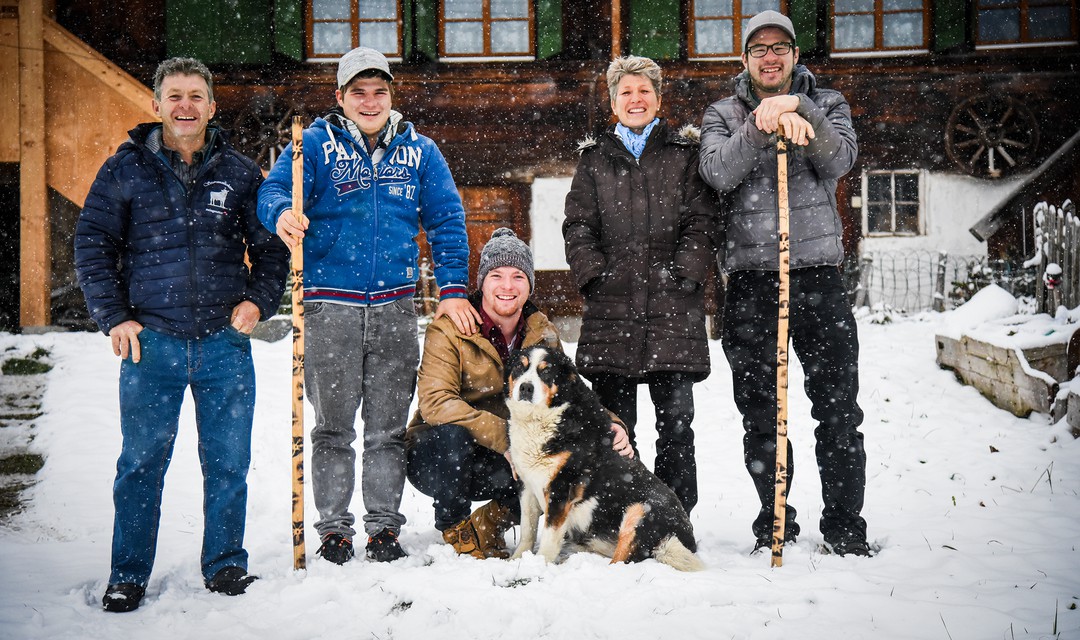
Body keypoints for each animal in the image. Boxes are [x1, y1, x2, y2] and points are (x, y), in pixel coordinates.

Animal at [503, 347, 704, 569]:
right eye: (519, 367)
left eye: (546, 371)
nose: (526, 388)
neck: (543, 419)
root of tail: (689, 541)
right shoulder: (527, 485)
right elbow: (527, 530)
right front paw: (517, 559)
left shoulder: (561, 488)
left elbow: (549, 535)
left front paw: (540, 564)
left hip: (641, 512)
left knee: (621, 563)